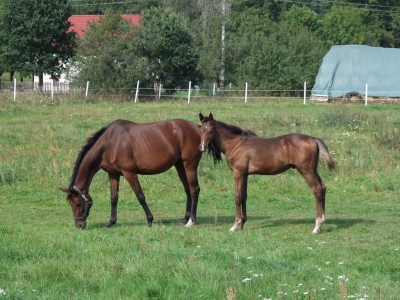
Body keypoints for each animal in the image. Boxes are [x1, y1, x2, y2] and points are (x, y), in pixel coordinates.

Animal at [61, 118, 220, 229]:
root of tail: (198, 128)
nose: (79, 225)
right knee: (187, 190)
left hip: (189, 166)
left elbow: (140, 196)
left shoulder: (129, 173)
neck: (110, 143)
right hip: (180, 166)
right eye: (71, 204)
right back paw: (185, 219)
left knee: (194, 190)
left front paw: (149, 220)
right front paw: (111, 222)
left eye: (77, 203)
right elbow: (114, 198)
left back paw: (191, 221)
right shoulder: (113, 174)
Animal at [198, 112, 334, 234]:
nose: (202, 147)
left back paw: (317, 226)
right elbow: (244, 196)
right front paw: (242, 224)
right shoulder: (245, 174)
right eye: (200, 130)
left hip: (306, 171)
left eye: (211, 130)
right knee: (322, 188)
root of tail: (313, 139)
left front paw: (234, 226)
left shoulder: (238, 172)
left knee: (317, 189)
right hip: (313, 170)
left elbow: (237, 197)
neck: (234, 143)